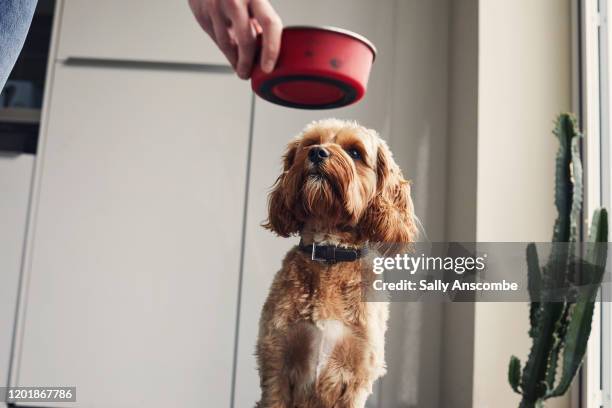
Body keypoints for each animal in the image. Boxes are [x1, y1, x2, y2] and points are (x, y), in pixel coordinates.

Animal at [253, 118, 416, 408]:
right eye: (310, 143)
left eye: (355, 152)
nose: (317, 153)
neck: (330, 253)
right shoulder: (276, 360)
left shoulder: (357, 376)